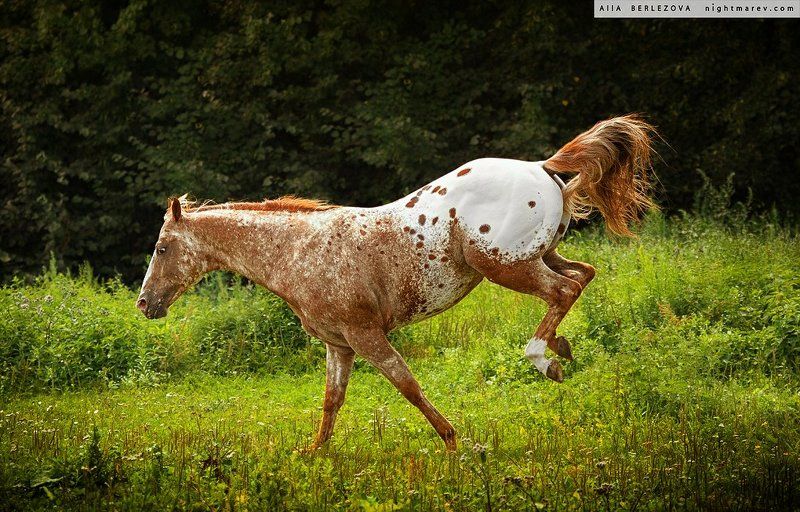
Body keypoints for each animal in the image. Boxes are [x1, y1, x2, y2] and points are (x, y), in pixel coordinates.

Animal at [136, 115, 657, 451]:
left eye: (161, 248)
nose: (144, 304)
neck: (300, 251)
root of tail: (541, 168)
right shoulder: (339, 344)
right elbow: (331, 401)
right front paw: (313, 455)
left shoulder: (367, 335)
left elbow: (407, 385)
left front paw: (453, 442)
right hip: (541, 255)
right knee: (583, 276)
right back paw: (562, 349)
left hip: (506, 267)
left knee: (562, 291)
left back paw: (544, 361)